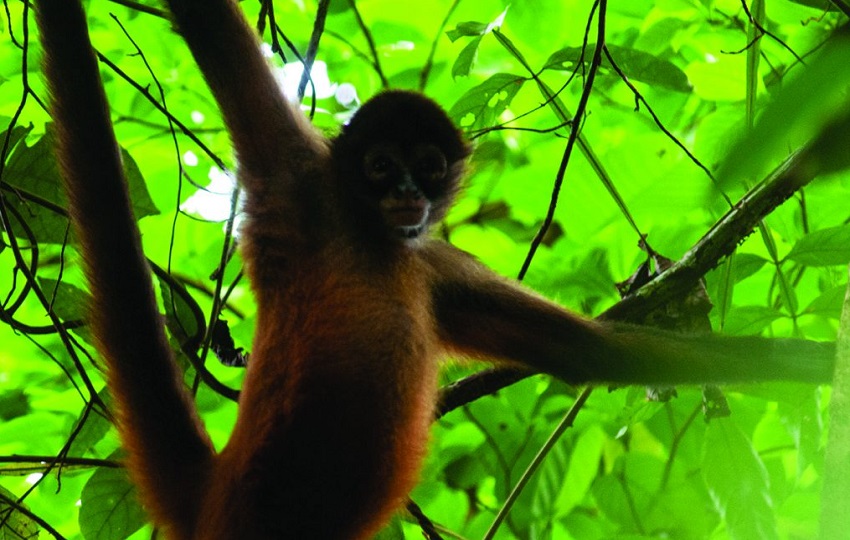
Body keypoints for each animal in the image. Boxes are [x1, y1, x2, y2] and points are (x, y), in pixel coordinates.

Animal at [36, 1, 832, 540]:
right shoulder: (295, 179)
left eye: (428, 166)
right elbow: (211, 29)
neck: (372, 240)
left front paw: (809, 361)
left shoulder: (432, 265)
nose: (407, 194)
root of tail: (217, 486)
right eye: (380, 165)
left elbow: (584, 350)